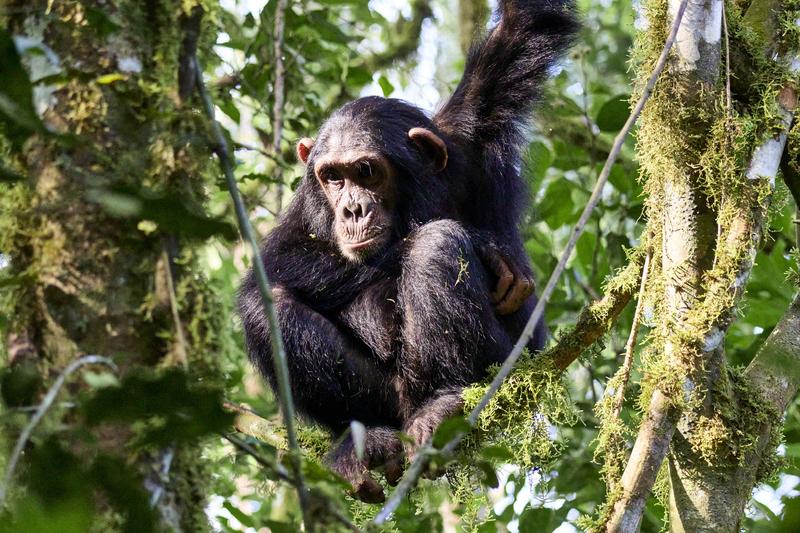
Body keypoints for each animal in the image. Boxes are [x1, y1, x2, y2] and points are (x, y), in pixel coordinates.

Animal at [239, 0, 580, 500]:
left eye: (366, 170)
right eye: (332, 177)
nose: (352, 209)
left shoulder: (475, 121)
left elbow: (528, 26)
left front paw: (492, 250)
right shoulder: (307, 208)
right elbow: (275, 266)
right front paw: (490, 248)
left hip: (499, 367)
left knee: (435, 245)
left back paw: (445, 404)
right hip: (385, 397)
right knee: (267, 306)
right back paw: (363, 442)